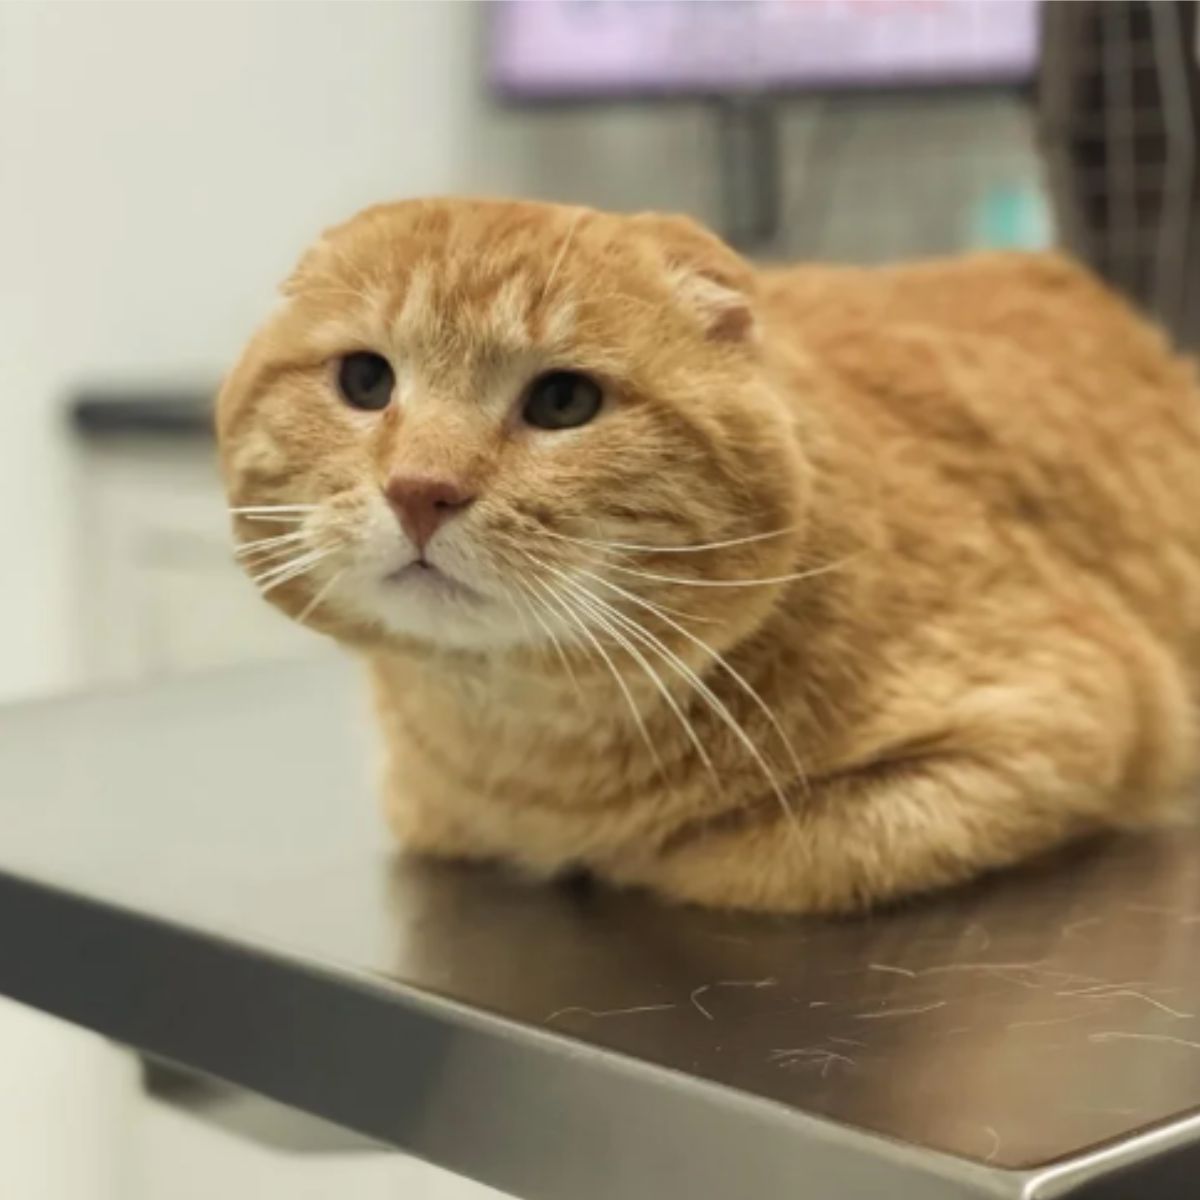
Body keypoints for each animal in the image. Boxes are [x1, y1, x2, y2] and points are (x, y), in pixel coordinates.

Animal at [216, 199, 1200, 907]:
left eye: (564, 401)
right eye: (365, 380)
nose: (422, 489)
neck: (520, 754)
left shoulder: (1070, 724)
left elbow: (732, 858)